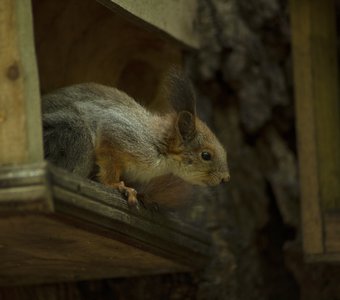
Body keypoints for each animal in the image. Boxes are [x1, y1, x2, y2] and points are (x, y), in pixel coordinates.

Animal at [41, 72, 230, 206]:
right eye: (206, 155)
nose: (225, 179)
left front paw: (143, 196)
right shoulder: (119, 132)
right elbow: (109, 164)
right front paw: (115, 185)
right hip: (73, 135)